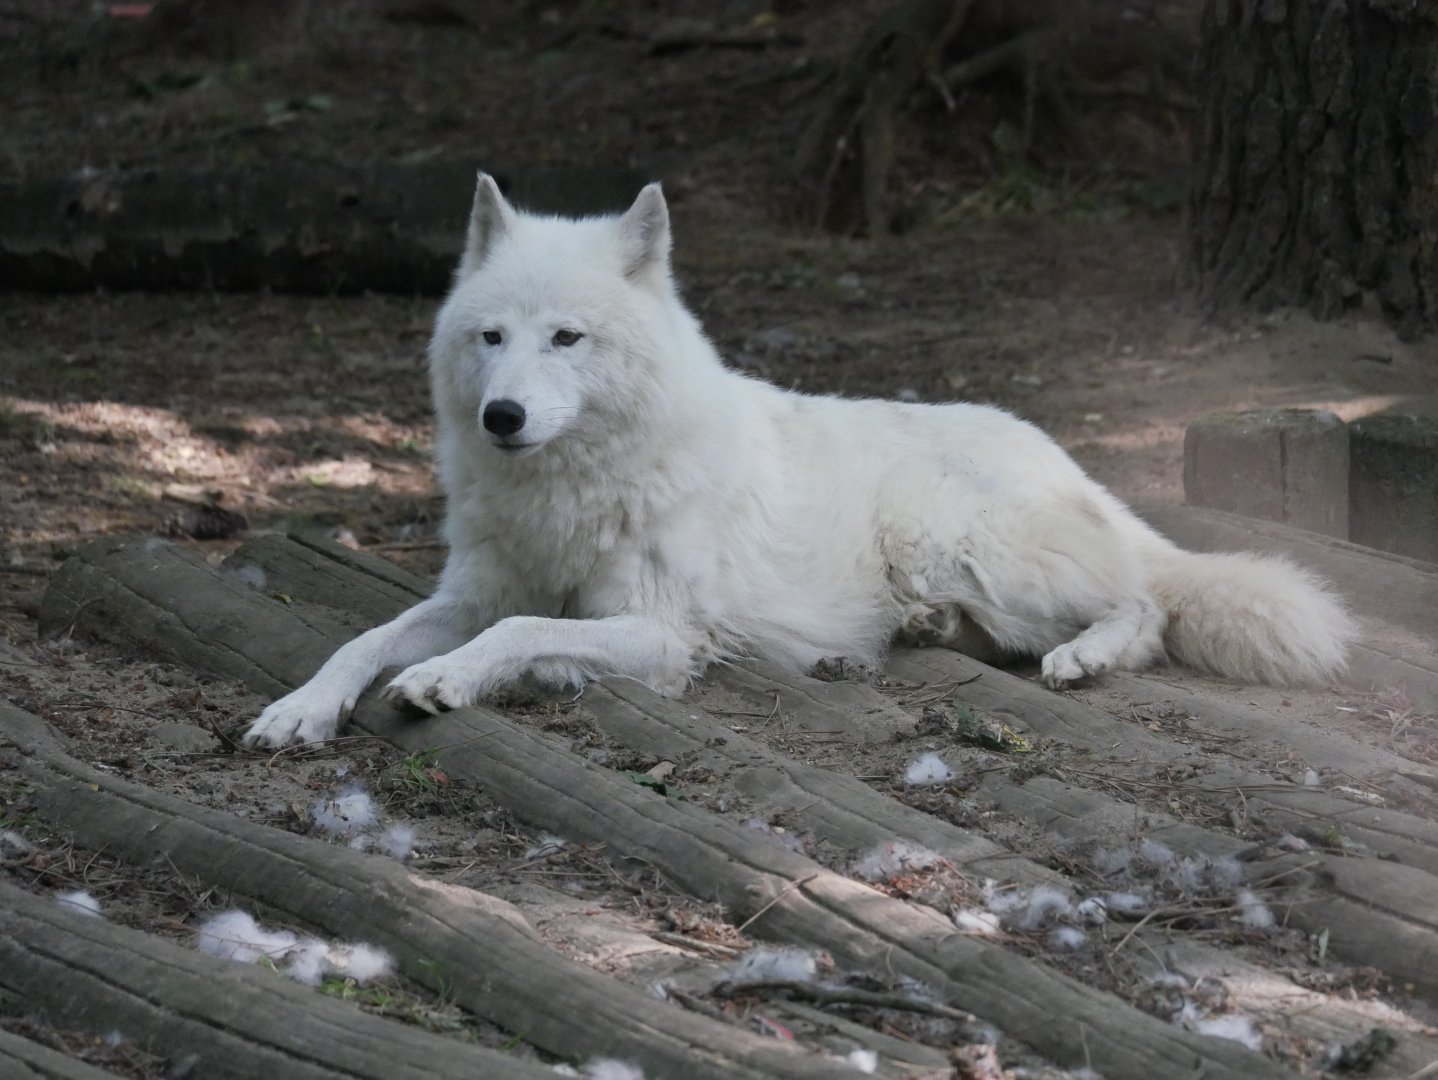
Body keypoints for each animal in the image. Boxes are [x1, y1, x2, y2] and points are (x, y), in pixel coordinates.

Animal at [244, 176, 1355, 747]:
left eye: (566, 338)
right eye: (491, 338)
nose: (502, 416)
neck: (570, 489)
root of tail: (1069, 462)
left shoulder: (659, 631)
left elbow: (519, 631)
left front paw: (446, 679)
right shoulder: (471, 590)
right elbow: (365, 639)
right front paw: (299, 707)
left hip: (954, 538)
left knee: (1146, 605)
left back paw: (1079, 657)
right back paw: (909, 633)